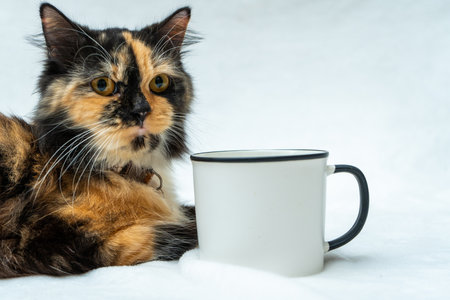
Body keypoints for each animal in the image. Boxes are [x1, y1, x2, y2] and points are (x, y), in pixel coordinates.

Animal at [0, 2, 199, 278]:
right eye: (103, 85)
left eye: (159, 82)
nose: (141, 110)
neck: (121, 172)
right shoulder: (57, 239)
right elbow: (186, 229)